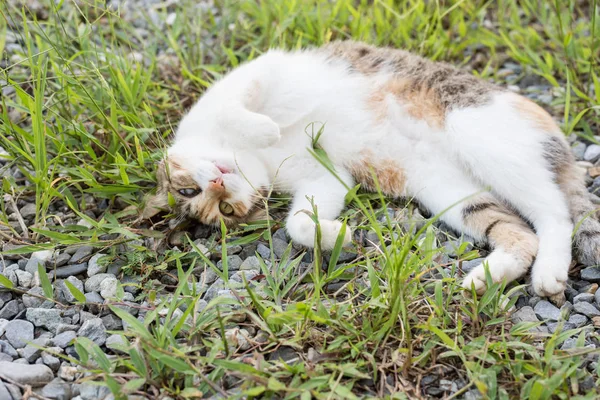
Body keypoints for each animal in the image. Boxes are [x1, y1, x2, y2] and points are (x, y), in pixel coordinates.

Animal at [144, 40, 600, 300]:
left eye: (187, 191)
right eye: (222, 210)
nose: (219, 183)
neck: (254, 158)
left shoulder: (257, 75)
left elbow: (241, 107)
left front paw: (265, 127)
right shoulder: (326, 176)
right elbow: (297, 223)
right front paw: (337, 235)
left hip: (479, 135)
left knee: (556, 214)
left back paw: (548, 273)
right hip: (449, 192)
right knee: (522, 233)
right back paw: (485, 279)